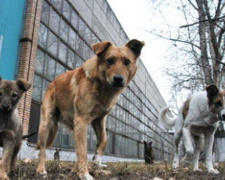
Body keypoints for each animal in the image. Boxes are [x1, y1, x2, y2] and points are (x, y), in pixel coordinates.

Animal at [35, 39, 144, 179]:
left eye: (127, 62)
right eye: (110, 60)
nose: (118, 79)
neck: (103, 86)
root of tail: (52, 83)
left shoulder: (99, 119)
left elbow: (104, 139)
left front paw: (97, 159)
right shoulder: (82, 119)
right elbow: (83, 151)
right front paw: (85, 174)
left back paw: (74, 170)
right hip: (46, 123)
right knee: (43, 148)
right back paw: (41, 169)